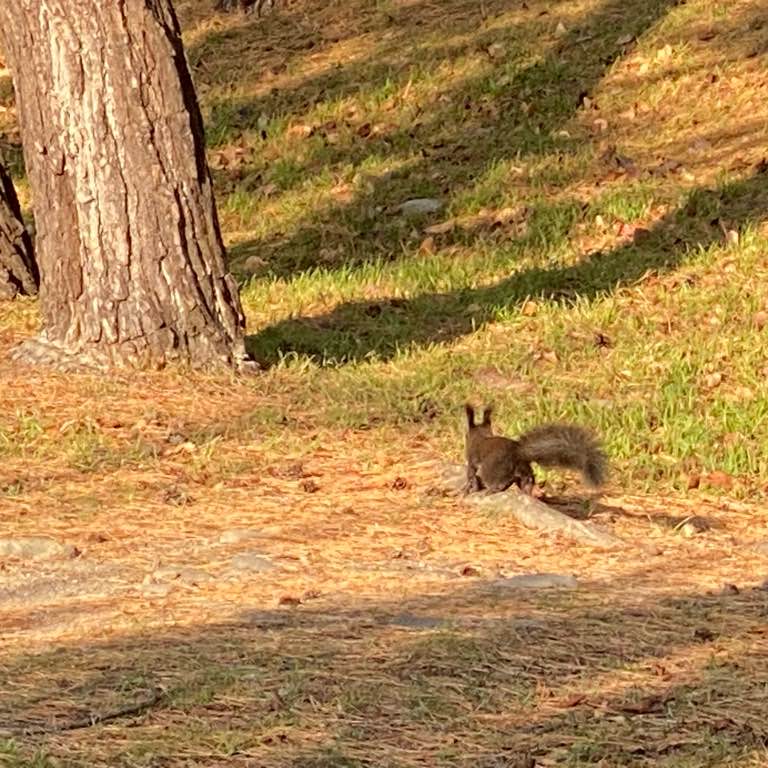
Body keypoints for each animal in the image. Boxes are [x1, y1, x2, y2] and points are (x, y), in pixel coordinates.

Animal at [463, 404, 606, 495]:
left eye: (466, 435)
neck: (481, 437)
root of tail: (519, 453)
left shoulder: (472, 459)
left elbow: (471, 475)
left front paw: (470, 489)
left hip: (493, 468)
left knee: (498, 482)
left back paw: (492, 490)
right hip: (523, 470)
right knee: (526, 479)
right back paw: (527, 490)